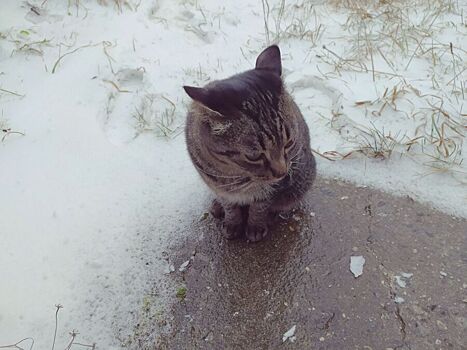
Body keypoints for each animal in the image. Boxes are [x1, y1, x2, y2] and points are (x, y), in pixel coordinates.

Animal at [185, 45, 316, 242]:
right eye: (254, 156)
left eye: (289, 143)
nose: (282, 173)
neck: (233, 173)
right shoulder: (217, 186)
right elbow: (229, 206)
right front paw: (232, 222)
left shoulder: (271, 189)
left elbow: (259, 207)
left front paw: (255, 225)